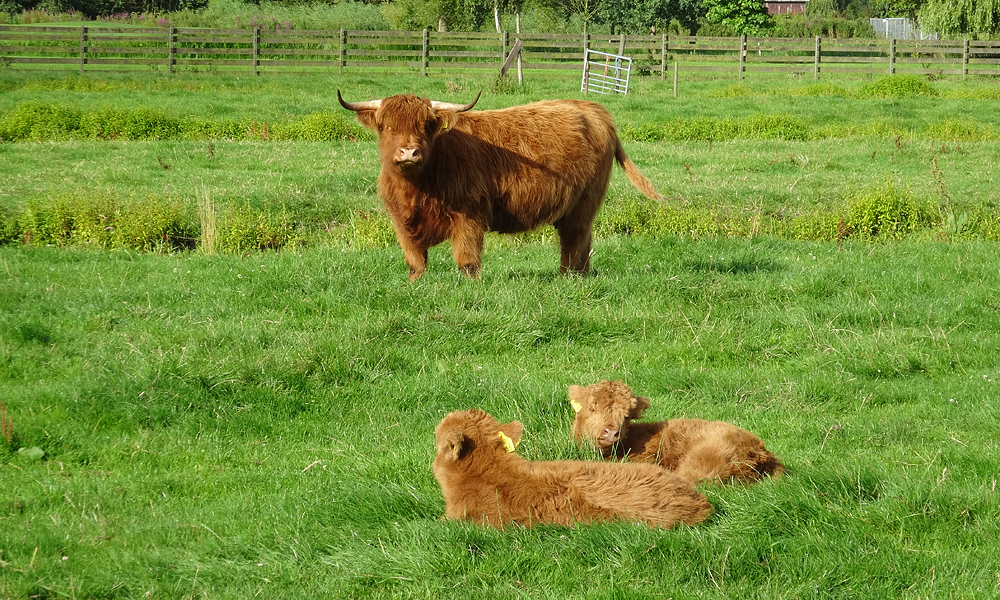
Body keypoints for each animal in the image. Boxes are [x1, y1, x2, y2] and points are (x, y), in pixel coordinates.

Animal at [338, 90, 662, 280]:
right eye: (386, 126)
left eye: (426, 125)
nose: (408, 152)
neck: (419, 187)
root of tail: (594, 109)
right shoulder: (400, 220)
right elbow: (415, 260)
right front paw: (417, 283)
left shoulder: (469, 215)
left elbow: (467, 259)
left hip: (584, 203)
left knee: (575, 241)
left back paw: (567, 277)